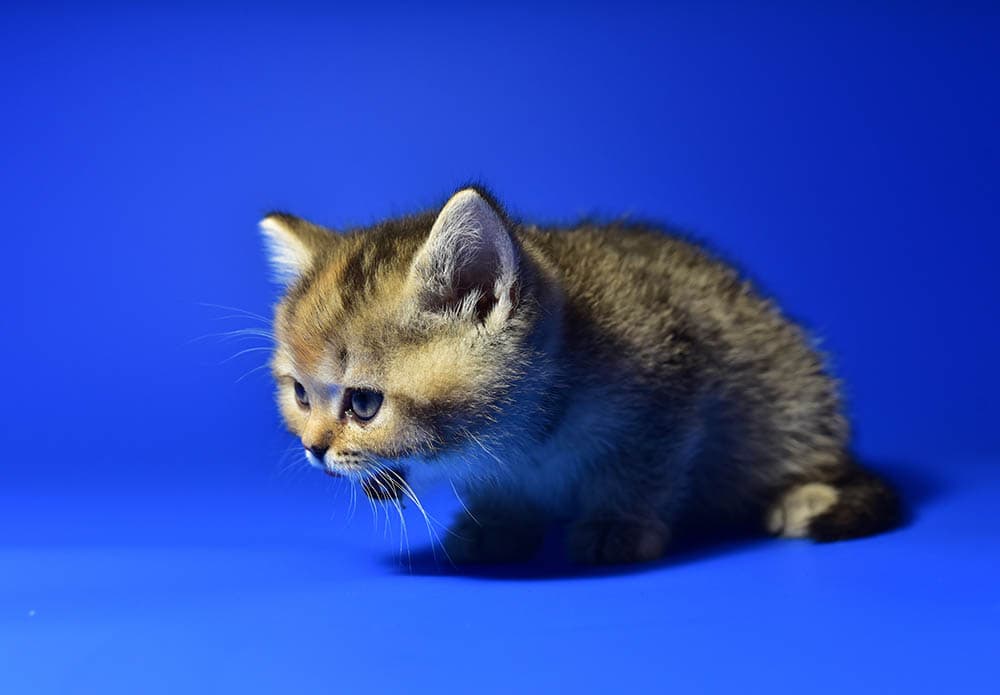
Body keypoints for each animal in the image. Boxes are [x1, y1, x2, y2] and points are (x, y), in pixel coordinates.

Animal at [262, 186, 904, 564]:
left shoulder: (670, 387)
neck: (528, 436)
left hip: (795, 390)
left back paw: (805, 494)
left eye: (363, 404)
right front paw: (498, 521)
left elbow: (641, 469)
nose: (314, 448)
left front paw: (616, 525)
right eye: (301, 395)